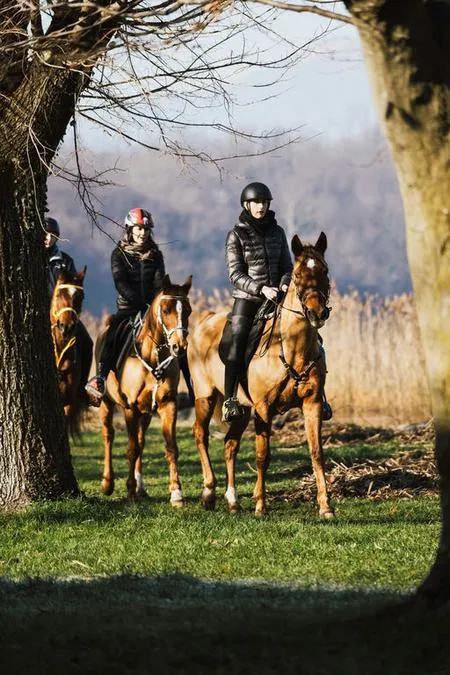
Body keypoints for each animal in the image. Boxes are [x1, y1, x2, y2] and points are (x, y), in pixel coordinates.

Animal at [97, 274, 192, 504]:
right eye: (165, 310)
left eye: (188, 310)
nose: (179, 346)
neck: (152, 357)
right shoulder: (130, 408)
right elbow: (131, 449)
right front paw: (130, 490)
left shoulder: (168, 405)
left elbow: (171, 448)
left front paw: (176, 492)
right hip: (107, 404)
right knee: (108, 436)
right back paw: (108, 483)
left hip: (146, 413)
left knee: (141, 440)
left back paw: (141, 487)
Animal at [188, 232, 334, 518]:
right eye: (297, 274)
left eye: (324, 270)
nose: (317, 313)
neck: (292, 347)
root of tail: (204, 321)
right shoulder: (264, 409)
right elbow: (262, 456)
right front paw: (260, 506)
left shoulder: (311, 404)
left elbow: (316, 452)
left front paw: (326, 507)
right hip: (205, 397)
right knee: (201, 434)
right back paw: (209, 492)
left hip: (242, 410)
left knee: (230, 445)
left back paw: (233, 501)